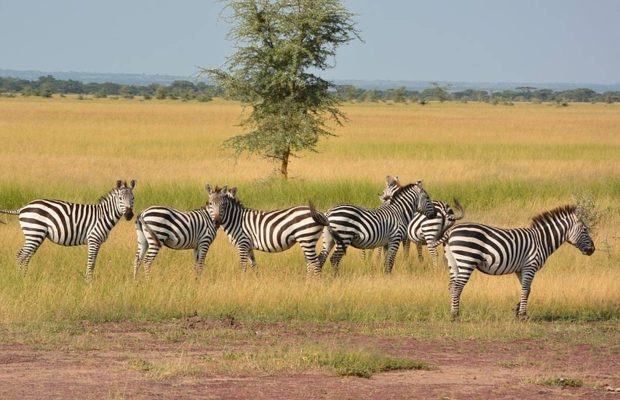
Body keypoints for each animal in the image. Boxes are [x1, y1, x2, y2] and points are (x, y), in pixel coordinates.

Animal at [0, 180, 136, 280]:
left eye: (133, 198)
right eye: (120, 198)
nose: (129, 215)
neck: (103, 215)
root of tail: (23, 208)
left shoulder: (97, 242)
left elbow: (93, 262)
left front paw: (88, 280)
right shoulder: (93, 239)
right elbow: (91, 262)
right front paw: (89, 282)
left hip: (35, 235)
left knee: (25, 256)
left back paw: (24, 277)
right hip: (34, 233)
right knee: (21, 256)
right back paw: (19, 279)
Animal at [440, 205, 596, 320]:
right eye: (585, 229)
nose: (593, 250)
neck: (541, 240)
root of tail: (451, 231)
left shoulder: (520, 269)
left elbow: (527, 289)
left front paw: (517, 310)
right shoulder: (530, 266)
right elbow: (526, 289)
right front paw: (522, 315)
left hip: (454, 263)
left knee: (451, 286)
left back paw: (452, 312)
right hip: (466, 260)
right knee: (457, 287)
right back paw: (455, 316)